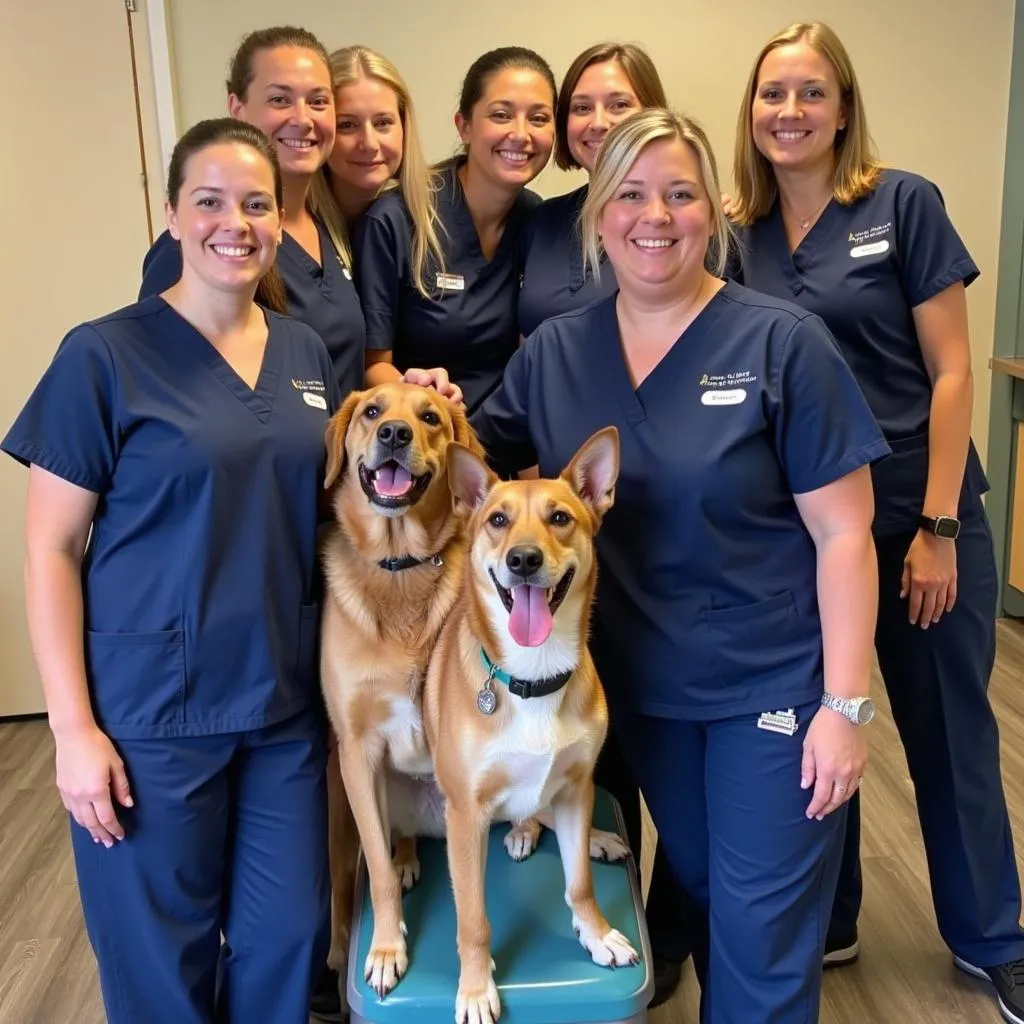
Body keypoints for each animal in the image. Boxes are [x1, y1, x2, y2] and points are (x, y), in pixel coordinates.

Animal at [419, 425, 634, 1024]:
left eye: (560, 517)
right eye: (497, 519)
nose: (523, 559)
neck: (534, 677)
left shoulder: (579, 784)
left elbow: (580, 885)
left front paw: (596, 932)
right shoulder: (466, 813)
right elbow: (473, 920)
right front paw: (474, 988)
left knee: (546, 816)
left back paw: (582, 837)